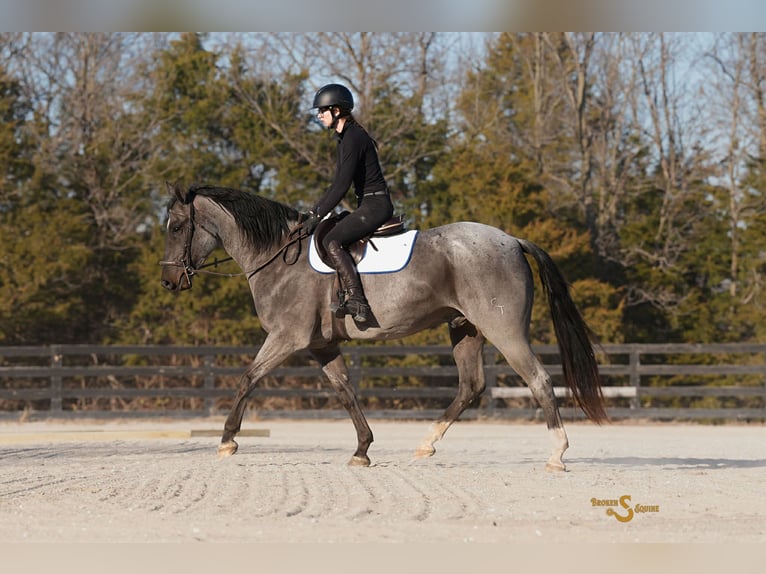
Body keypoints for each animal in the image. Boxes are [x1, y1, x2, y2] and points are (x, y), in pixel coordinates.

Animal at [160, 182, 607, 471]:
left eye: (177, 227)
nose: (169, 281)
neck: (277, 256)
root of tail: (512, 240)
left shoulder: (286, 338)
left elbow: (248, 379)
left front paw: (227, 441)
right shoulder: (321, 345)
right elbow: (345, 391)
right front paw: (362, 450)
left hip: (504, 330)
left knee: (538, 379)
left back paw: (557, 454)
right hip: (466, 329)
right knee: (471, 386)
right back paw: (426, 445)